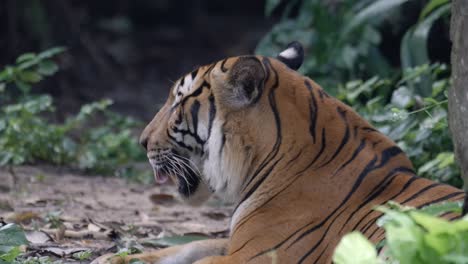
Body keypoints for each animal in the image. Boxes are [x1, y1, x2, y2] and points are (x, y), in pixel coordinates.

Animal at [92, 42, 464, 262]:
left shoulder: (253, 255)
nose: (142, 141)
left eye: (179, 102)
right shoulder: (235, 242)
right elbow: (184, 247)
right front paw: (113, 258)